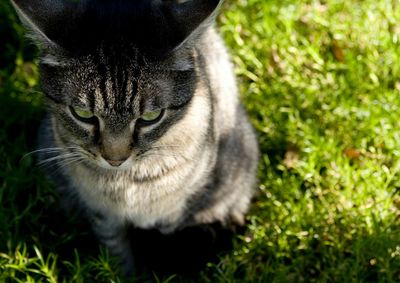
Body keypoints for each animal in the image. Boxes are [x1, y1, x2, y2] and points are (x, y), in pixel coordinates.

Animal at [11, 0, 260, 276]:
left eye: (151, 116)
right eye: (83, 114)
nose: (115, 158)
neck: (127, 181)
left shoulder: (173, 216)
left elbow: (166, 245)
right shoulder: (101, 212)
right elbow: (115, 249)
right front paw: (122, 273)